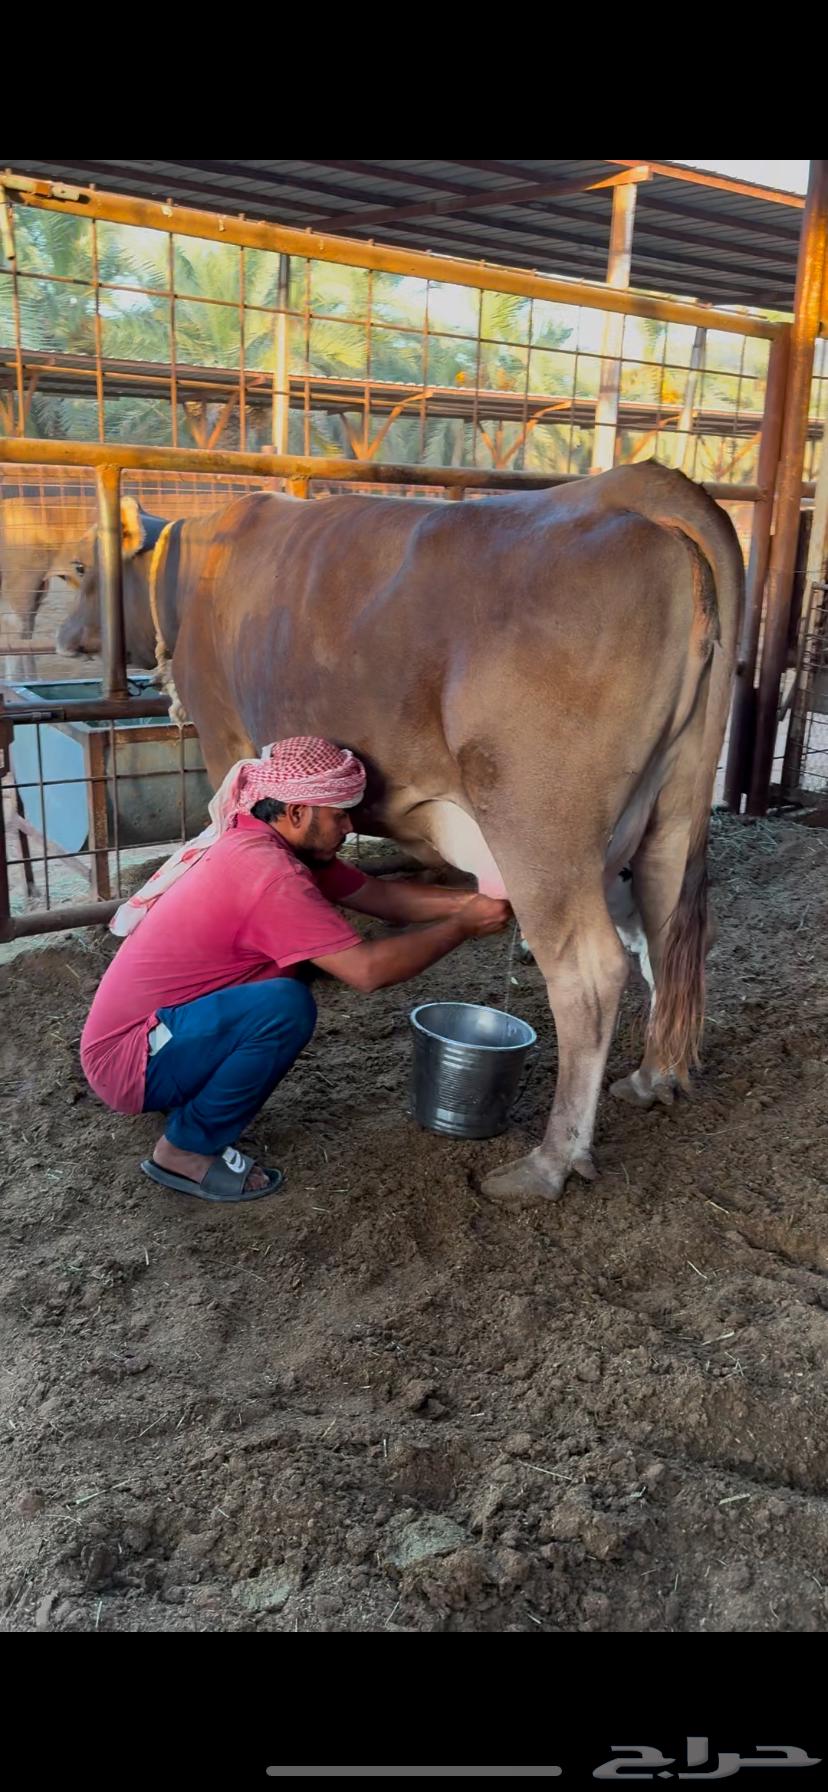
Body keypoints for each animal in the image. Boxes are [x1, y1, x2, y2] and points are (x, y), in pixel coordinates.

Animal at [57, 464, 743, 1205]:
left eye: (82, 567)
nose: (63, 638)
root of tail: (631, 486)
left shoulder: (224, 736)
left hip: (542, 826)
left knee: (590, 970)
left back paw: (549, 1162)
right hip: (673, 807)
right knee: (669, 929)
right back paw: (654, 1079)